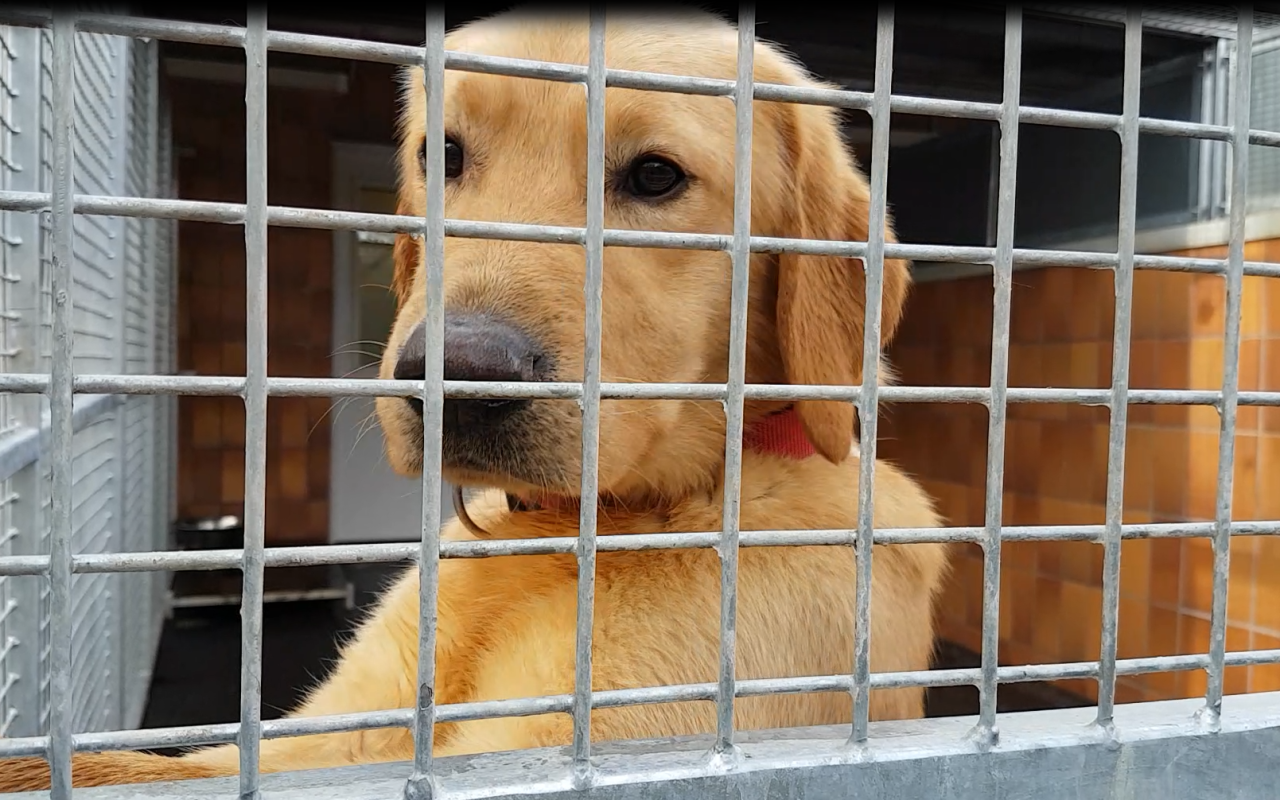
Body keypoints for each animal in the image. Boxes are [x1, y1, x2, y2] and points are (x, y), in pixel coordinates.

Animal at [0, 7, 947, 793]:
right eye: (442, 156)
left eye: (655, 176)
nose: (456, 375)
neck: (588, 524)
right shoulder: (337, 734)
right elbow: (131, 766)